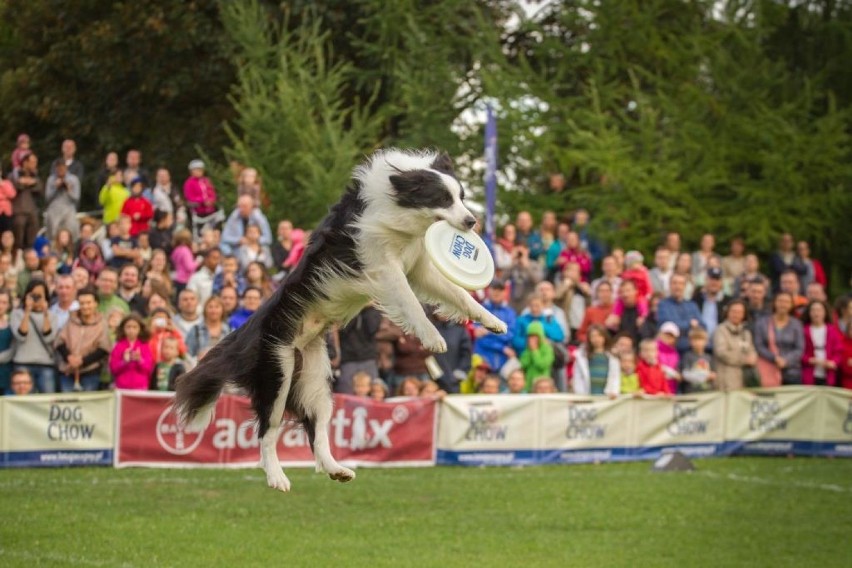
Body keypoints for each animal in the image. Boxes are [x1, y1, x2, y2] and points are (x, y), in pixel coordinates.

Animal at [173, 149, 506, 490]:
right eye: (442, 198)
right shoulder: (381, 267)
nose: (472, 221)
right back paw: (277, 477)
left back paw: (336, 469)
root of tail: (246, 331)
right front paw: (433, 338)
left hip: (316, 375)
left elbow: (458, 294)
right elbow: (411, 302)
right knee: (268, 429)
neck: (396, 203)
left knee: (316, 426)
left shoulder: (419, 266)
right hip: (277, 368)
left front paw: (492, 322)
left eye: (461, 196)